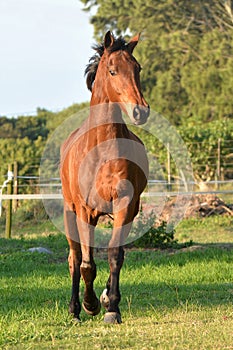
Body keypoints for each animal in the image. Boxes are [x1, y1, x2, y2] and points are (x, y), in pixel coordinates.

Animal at [60, 31, 149, 324]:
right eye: (112, 70)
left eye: (137, 68)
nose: (140, 111)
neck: (102, 151)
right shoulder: (84, 211)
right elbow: (87, 264)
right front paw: (89, 305)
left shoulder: (125, 205)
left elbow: (115, 254)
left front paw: (111, 307)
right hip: (70, 212)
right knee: (75, 259)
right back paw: (75, 310)